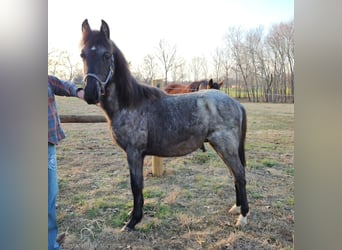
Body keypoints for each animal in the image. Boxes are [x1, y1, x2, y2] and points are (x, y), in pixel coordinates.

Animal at [80, 19, 247, 232]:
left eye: (106, 55)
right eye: (83, 54)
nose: (90, 93)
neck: (130, 103)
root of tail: (236, 103)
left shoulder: (134, 152)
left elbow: (136, 186)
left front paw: (132, 222)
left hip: (225, 147)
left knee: (240, 175)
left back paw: (243, 216)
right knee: (234, 175)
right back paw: (236, 208)